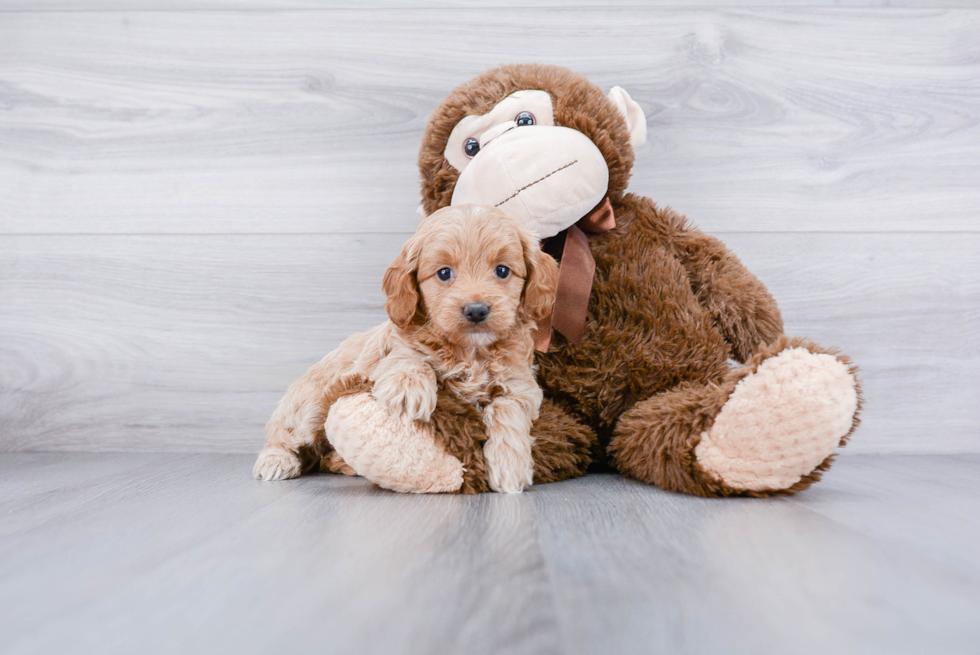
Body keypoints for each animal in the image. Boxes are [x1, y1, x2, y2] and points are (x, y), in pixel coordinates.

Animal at [253, 205, 560, 492]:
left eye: (502, 271)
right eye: (444, 273)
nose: (476, 310)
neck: (470, 351)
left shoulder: (521, 384)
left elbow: (508, 409)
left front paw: (510, 464)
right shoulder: (389, 353)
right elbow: (411, 359)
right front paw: (407, 389)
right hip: (308, 407)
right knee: (285, 435)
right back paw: (276, 460)